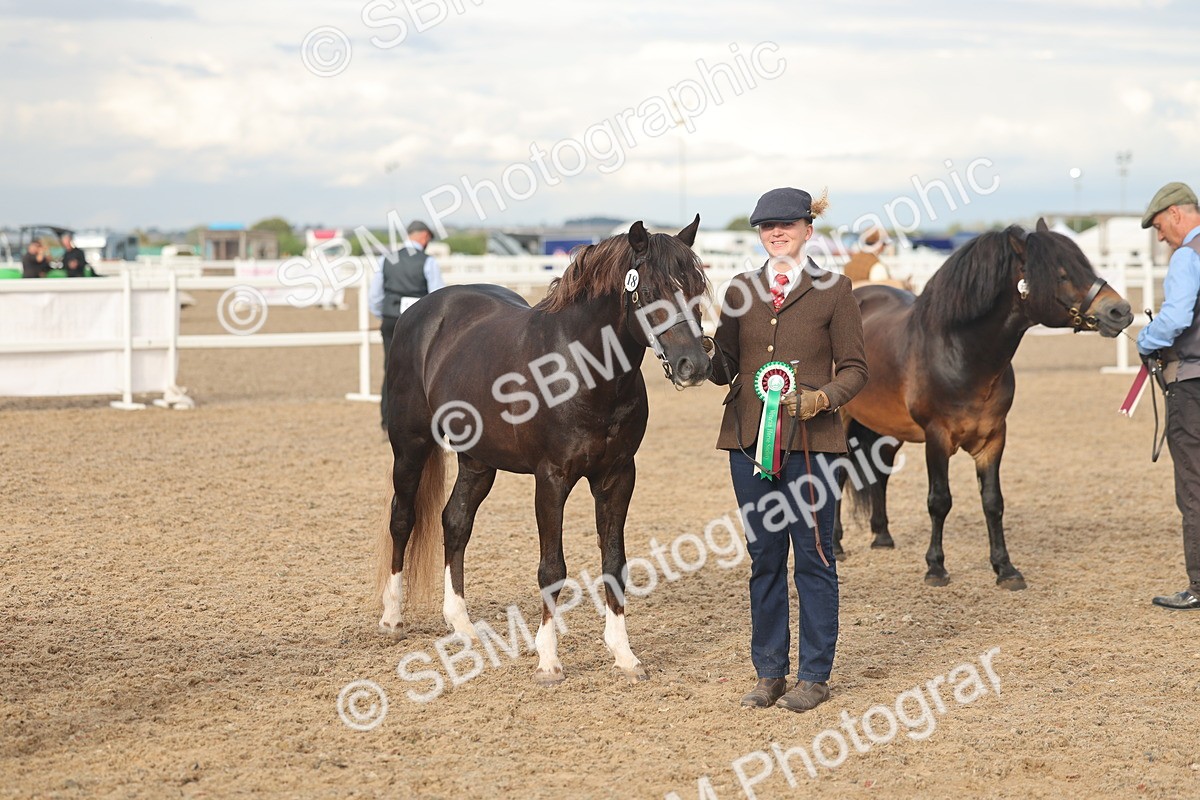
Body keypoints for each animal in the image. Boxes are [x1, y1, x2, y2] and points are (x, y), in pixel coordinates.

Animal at [375, 217, 711, 684]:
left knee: (455, 521)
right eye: (649, 290)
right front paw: (548, 660)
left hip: (478, 461)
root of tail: (420, 312)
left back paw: (462, 624)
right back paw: (392, 618)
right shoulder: (551, 478)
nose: (694, 366)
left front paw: (624, 655)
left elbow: (614, 561)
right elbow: (552, 568)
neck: (582, 371)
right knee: (403, 518)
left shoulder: (618, 476)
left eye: (697, 286)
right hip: (410, 447)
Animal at [833, 218, 1133, 589]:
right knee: (836, 475)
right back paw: (837, 545)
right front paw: (935, 567)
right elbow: (939, 500)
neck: (961, 352)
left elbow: (993, 502)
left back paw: (882, 536)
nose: (1120, 311)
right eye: (1062, 274)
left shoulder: (994, 438)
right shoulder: (936, 438)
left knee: (880, 472)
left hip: (887, 429)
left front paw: (1005, 568)